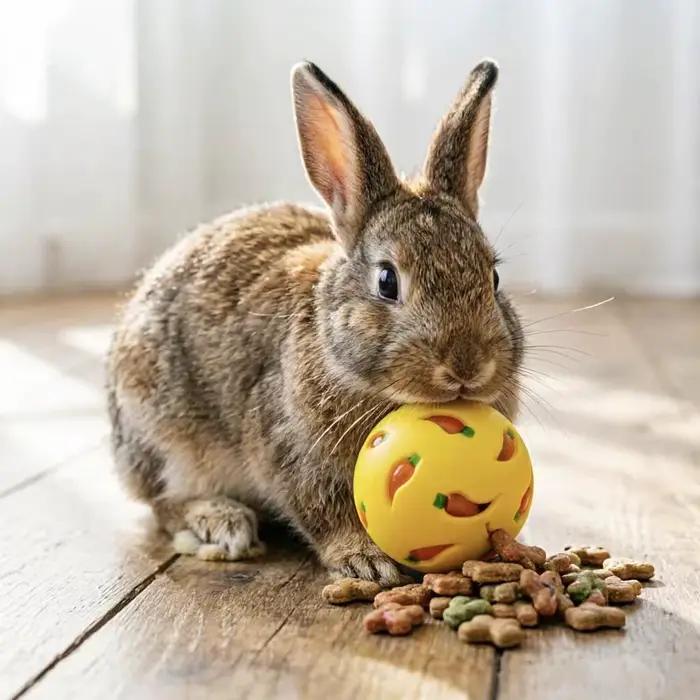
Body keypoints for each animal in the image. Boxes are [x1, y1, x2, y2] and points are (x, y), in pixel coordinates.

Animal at [106, 59, 524, 585]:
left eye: (493, 276)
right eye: (387, 280)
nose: (468, 367)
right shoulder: (289, 449)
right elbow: (322, 510)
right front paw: (364, 560)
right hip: (164, 435)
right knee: (163, 502)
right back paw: (222, 521)